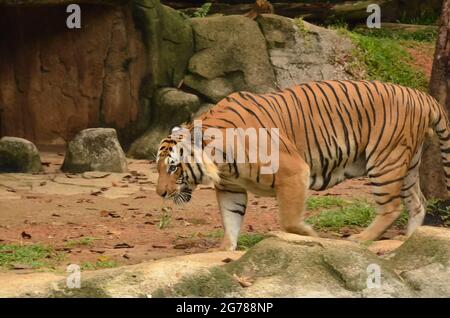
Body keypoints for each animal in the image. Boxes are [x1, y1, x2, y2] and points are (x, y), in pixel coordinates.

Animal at [156, 80, 450, 251]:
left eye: (173, 167)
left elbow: (289, 221)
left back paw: (361, 239)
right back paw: (410, 242)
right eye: (158, 168)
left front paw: (311, 234)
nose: (160, 193)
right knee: (418, 202)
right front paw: (225, 252)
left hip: (385, 160)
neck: (221, 161)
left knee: (392, 207)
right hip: (407, 164)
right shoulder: (231, 188)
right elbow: (230, 221)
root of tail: (421, 95)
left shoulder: (293, 171)